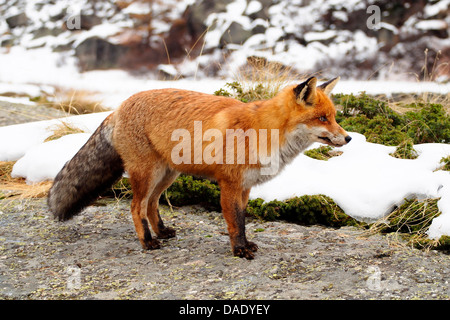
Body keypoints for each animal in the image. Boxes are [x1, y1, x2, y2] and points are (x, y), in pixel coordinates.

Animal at [48, 76, 352, 258]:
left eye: (334, 117)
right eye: (322, 118)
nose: (348, 138)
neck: (262, 131)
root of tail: (119, 107)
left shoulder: (245, 186)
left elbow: (242, 219)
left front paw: (245, 245)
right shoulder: (230, 184)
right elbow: (235, 222)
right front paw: (240, 250)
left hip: (168, 174)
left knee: (151, 204)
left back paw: (162, 231)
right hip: (148, 174)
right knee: (136, 207)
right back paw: (147, 241)